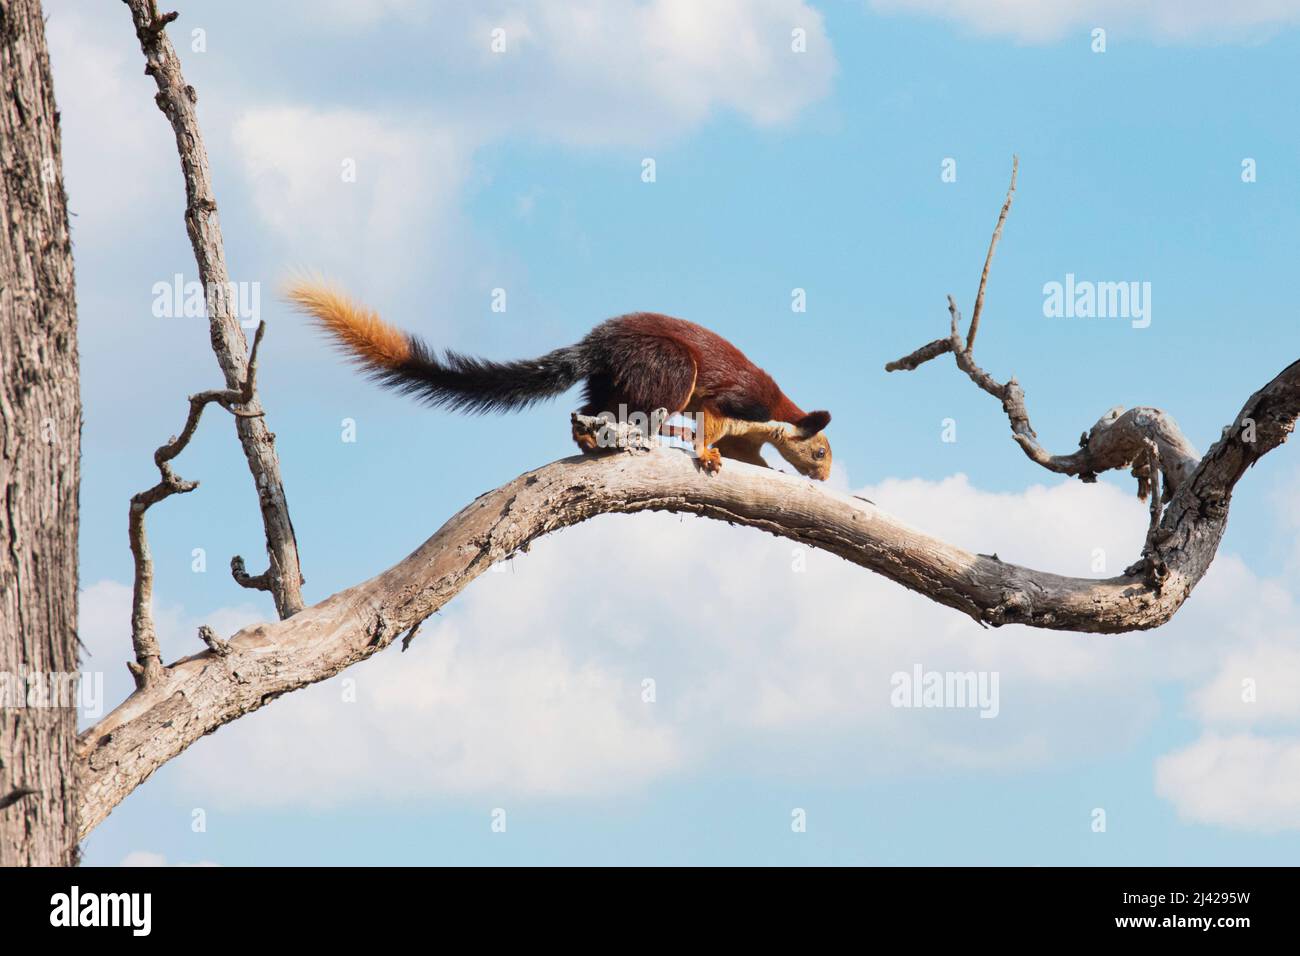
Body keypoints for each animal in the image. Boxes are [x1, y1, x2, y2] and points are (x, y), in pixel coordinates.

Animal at [284, 280, 832, 481]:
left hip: (612, 382)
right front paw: (707, 454)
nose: (824, 476)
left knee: (589, 414)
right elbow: (712, 426)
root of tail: (596, 346)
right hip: (670, 368)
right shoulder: (737, 403)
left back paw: (593, 439)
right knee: (648, 407)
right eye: (822, 451)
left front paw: (767, 468)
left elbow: (751, 457)